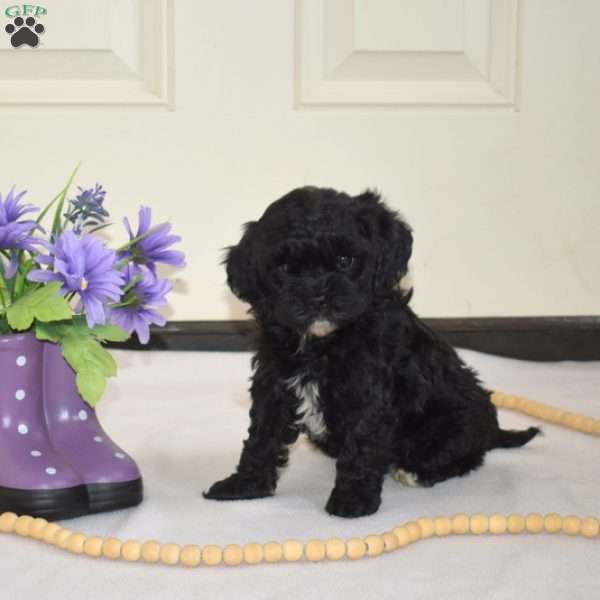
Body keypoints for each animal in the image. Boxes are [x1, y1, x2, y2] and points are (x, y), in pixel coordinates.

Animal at [205, 186, 540, 516]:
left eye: (344, 260)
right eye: (285, 268)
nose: (317, 294)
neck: (322, 343)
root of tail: (492, 430)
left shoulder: (367, 392)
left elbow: (361, 443)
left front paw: (352, 500)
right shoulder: (274, 383)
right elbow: (262, 436)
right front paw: (245, 485)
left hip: (456, 423)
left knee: (464, 456)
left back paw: (417, 473)